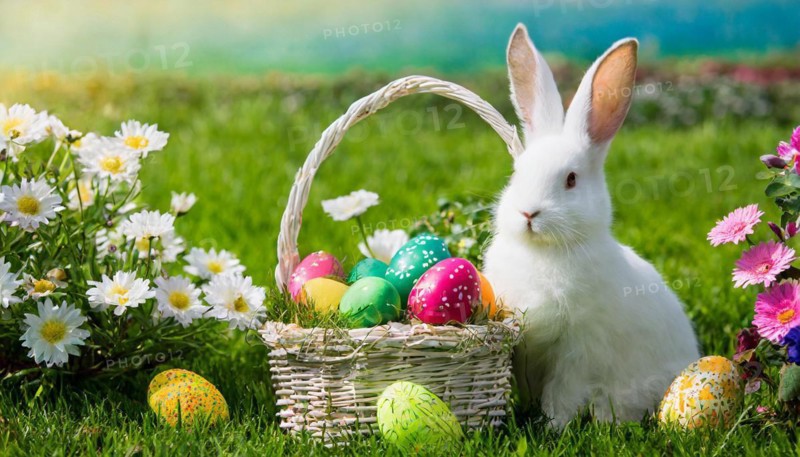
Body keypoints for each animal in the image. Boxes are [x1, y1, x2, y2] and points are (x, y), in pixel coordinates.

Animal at [482, 24, 700, 429]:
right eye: (517, 174)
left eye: (570, 179)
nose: (528, 213)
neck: (544, 252)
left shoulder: (578, 353)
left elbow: (562, 395)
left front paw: (552, 427)